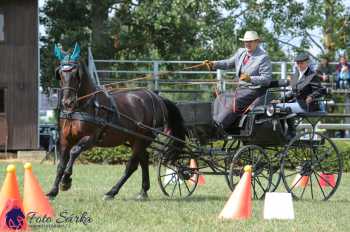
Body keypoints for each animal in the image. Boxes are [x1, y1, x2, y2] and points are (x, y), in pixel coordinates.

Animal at [48, 44, 189, 200]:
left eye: (75, 74)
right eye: (61, 74)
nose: (67, 102)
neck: (84, 105)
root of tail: (158, 98)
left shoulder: (90, 139)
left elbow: (74, 152)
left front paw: (66, 181)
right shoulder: (65, 139)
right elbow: (61, 164)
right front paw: (53, 191)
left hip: (143, 138)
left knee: (132, 165)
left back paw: (112, 192)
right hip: (135, 139)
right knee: (144, 159)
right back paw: (143, 191)